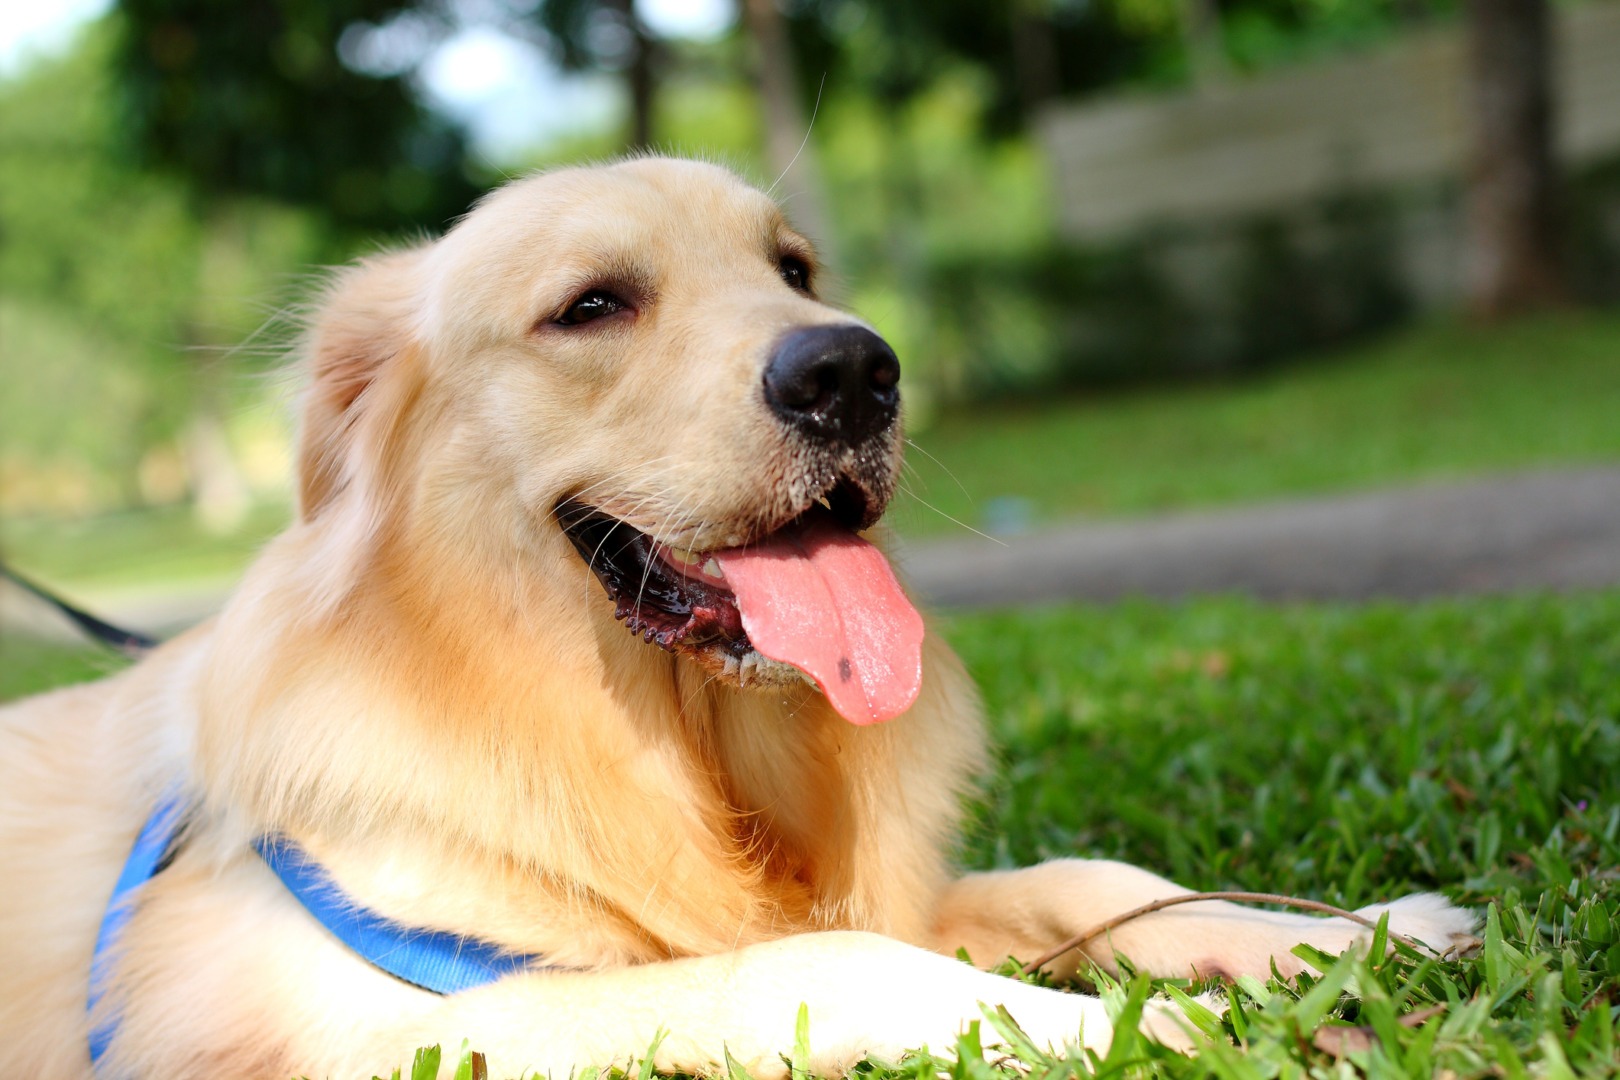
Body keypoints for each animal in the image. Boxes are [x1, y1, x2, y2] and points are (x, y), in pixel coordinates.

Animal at [0, 160, 1477, 1080]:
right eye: (593, 304)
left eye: (795, 267)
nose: (855, 372)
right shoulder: (385, 1023)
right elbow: (839, 964)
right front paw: (1144, 1034)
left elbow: (1091, 879)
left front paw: (1350, 933)